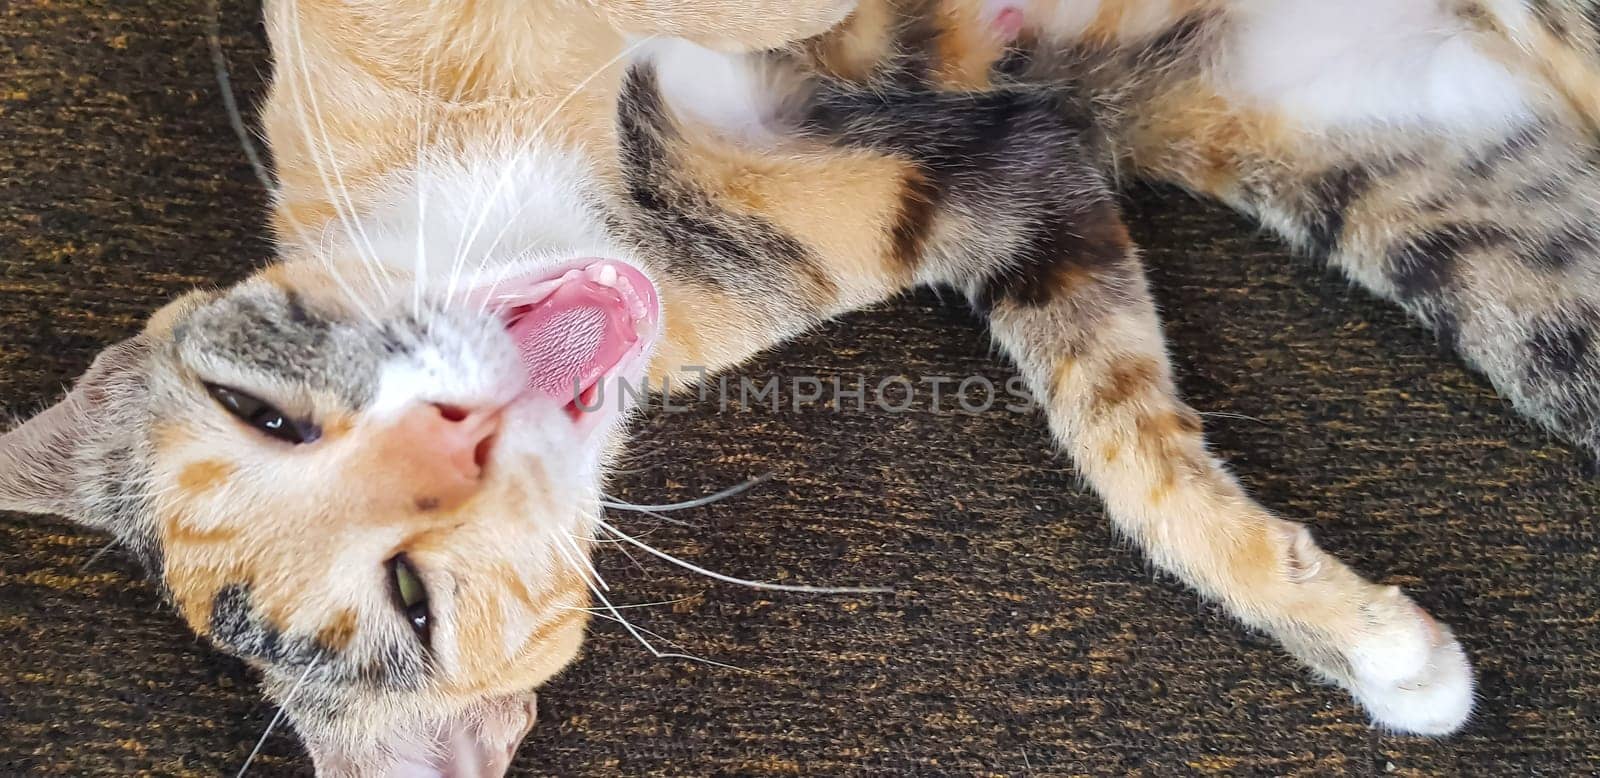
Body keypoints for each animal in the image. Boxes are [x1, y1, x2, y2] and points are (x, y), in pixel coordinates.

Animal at [3, 0, 1600, 774]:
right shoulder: (1013, 192)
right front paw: (1387, 655)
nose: (458, 432)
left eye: (259, 412)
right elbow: (1127, 449)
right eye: (420, 604)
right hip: (1471, 241)